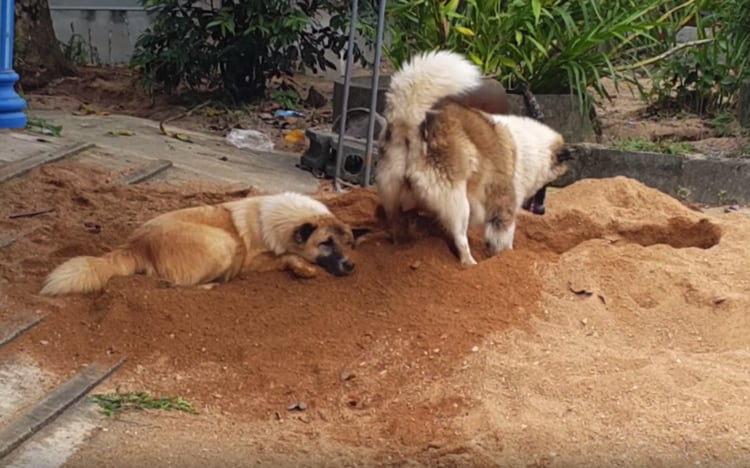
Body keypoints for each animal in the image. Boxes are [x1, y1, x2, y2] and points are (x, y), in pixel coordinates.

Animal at [40, 192, 370, 296]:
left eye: (348, 243)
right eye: (326, 243)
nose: (352, 265)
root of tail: (136, 244)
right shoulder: (252, 260)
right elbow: (285, 257)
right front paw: (303, 268)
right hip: (223, 244)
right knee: (175, 285)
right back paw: (213, 285)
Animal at [376, 50, 571, 265]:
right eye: (547, 184)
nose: (543, 211)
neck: (532, 148)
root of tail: (415, 125)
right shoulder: (503, 207)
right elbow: (504, 240)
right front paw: (507, 259)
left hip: (393, 194)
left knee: (397, 225)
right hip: (457, 202)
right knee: (460, 238)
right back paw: (470, 264)